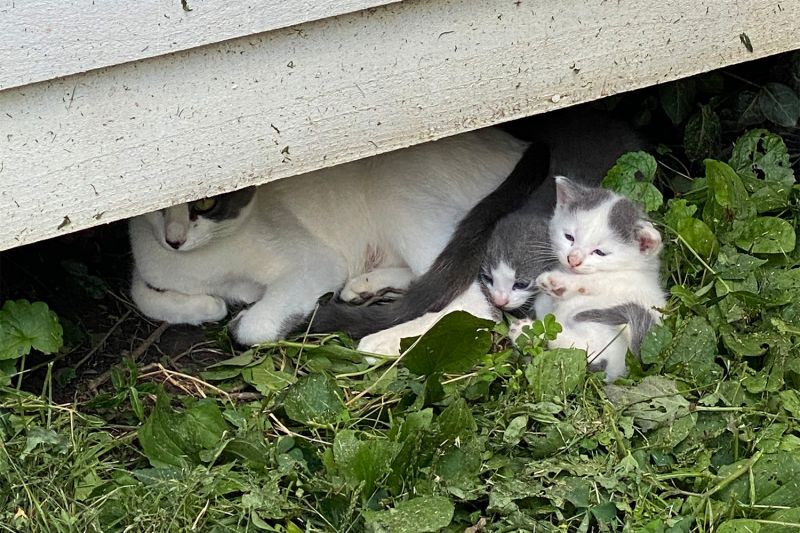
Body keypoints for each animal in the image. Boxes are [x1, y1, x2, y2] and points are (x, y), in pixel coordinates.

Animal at [131, 127, 548, 342]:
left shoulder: (312, 263)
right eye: (157, 209)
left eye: (205, 204)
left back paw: (378, 342)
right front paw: (205, 307)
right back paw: (365, 286)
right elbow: (140, 293)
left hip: (399, 193)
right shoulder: (147, 267)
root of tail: (521, 146)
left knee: (472, 306)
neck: (206, 265)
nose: (174, 239)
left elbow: (255, 327)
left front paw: (241, 317)